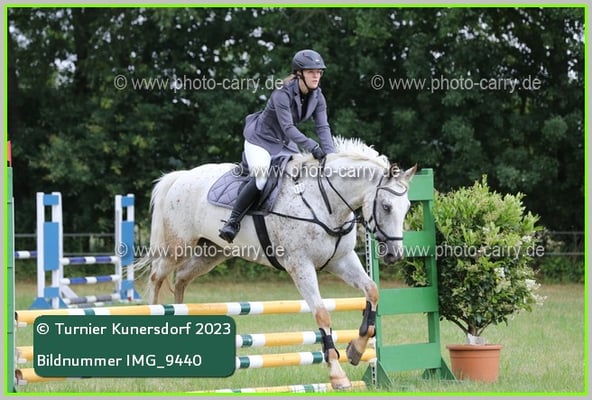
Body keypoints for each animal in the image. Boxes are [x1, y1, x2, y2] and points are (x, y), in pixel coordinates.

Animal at [136, 137, 416, 389]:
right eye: (387, 206)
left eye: (407, 208)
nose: (394, 255)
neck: (326, 202)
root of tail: (179, 177)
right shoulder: (300, 266)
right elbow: (322, 313)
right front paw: (337, 375)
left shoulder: (341, 261)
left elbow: (372, 291)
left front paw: (356, 350)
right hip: (177, 248)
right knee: (156, 277)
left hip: (212, 252)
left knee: (181, 278)